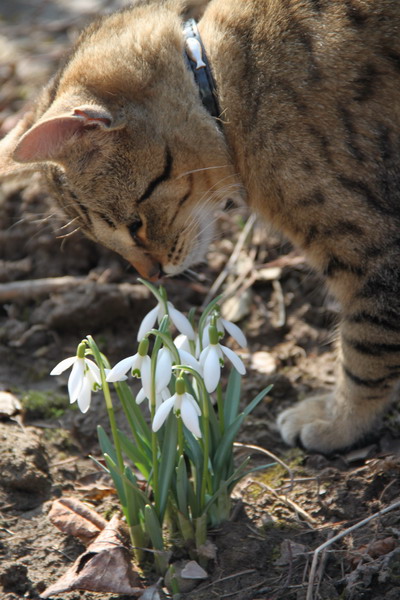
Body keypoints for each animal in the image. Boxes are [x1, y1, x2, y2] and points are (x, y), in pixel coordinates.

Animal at [0, 0, 400, 450]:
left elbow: (367, 349)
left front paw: (339, 422)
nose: (152, 275)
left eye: (134, 224)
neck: (223, 88)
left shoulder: (374, 248)